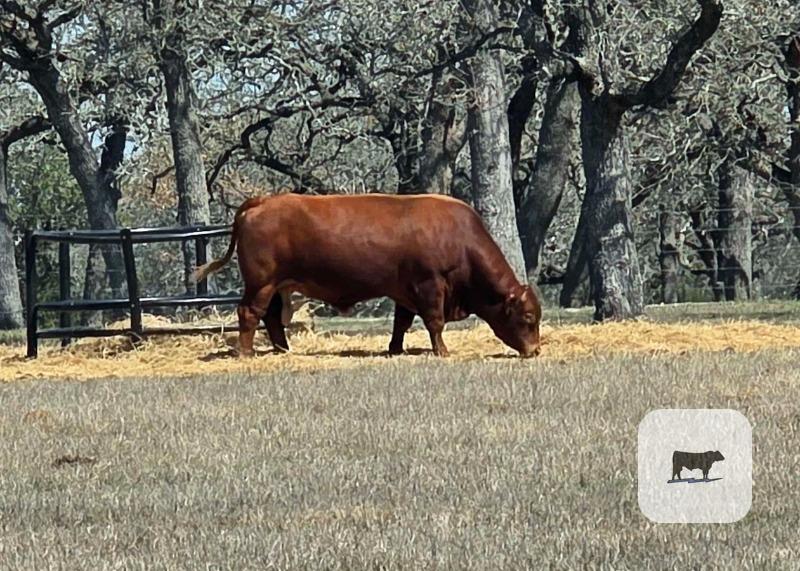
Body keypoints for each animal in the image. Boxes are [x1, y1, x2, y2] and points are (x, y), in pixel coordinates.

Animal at [193, 193, 542, 358]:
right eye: (527, 317)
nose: (535, 350)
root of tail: (264, 200)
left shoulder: (406, 290)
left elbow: (402, 322)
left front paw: (395, 349)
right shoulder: (430, 286)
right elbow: (434, 322)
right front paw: (442, 351)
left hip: (278, 285)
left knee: (272, 317)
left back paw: (283, 350)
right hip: (261, 283)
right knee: (249, 313)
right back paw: (246, 352)